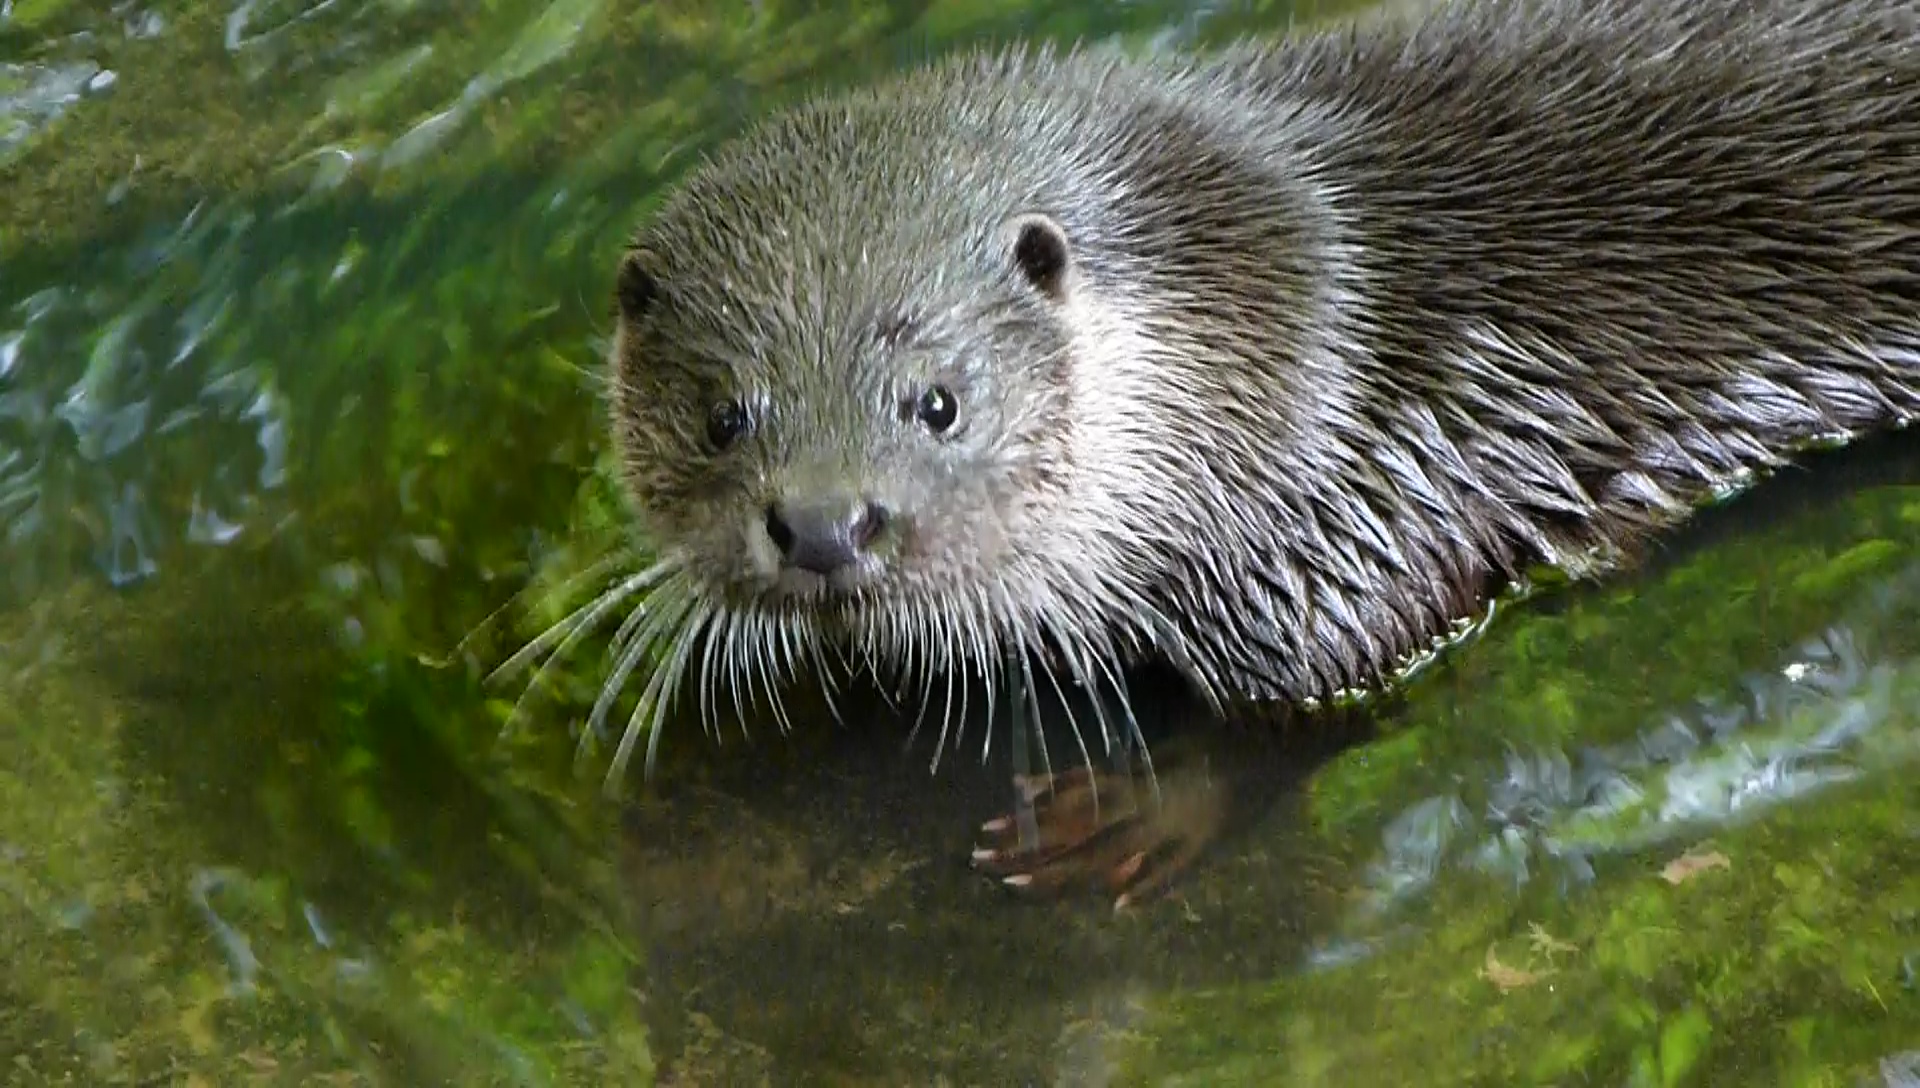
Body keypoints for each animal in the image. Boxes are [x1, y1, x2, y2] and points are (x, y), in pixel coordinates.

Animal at [573, 0, 1920, 904]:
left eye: (938, 402)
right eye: (723, 414)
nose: (823, 524)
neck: (1295, 321)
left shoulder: (1352, 516)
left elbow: (1310, 705)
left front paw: (1132, 810)